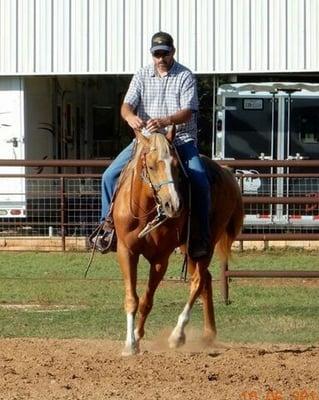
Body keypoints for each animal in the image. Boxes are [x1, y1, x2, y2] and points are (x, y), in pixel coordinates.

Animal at [111, 126, 244, 354]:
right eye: (152, 166)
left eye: (176, 166)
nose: (173, 204)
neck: (146, 209)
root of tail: (226, 173)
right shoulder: (126, 251)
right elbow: (132, 299)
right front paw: (131, 343)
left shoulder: (160, 259)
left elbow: (146, 301)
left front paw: (136, 337)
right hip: (188, 247)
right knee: (206, 280)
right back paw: (208, 335)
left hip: (204, 244)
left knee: (198, 281)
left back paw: (177, 335)